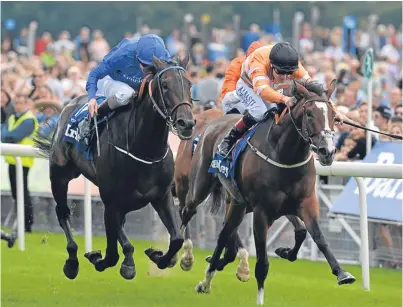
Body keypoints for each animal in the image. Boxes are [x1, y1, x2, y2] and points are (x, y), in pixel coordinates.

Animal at [34, 55, 196, 282]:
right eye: (164, 85)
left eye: (189, 85)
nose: (186, 123)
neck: (143, 149)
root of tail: (69, 105)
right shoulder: (111, 201)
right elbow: (115, 252)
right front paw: (115, 262)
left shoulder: (161, 196)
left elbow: (176, 239)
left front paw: (158, 255)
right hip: (60, 175)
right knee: (62, 212)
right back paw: (72, 261)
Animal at [181, 80, 356, 306]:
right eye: (309, 113)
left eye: (334, 115)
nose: (328, 151)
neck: (284, 155)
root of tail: (213, 121)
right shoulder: (262, 211)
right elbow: (262, 261)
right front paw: (260, 297)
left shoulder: (304, 202)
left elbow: (317, 236)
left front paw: (341, 273)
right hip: (201, 187)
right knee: (188, 210)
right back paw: (179, 256)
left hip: (238, 204)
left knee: (224, 235)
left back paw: (208, 278)